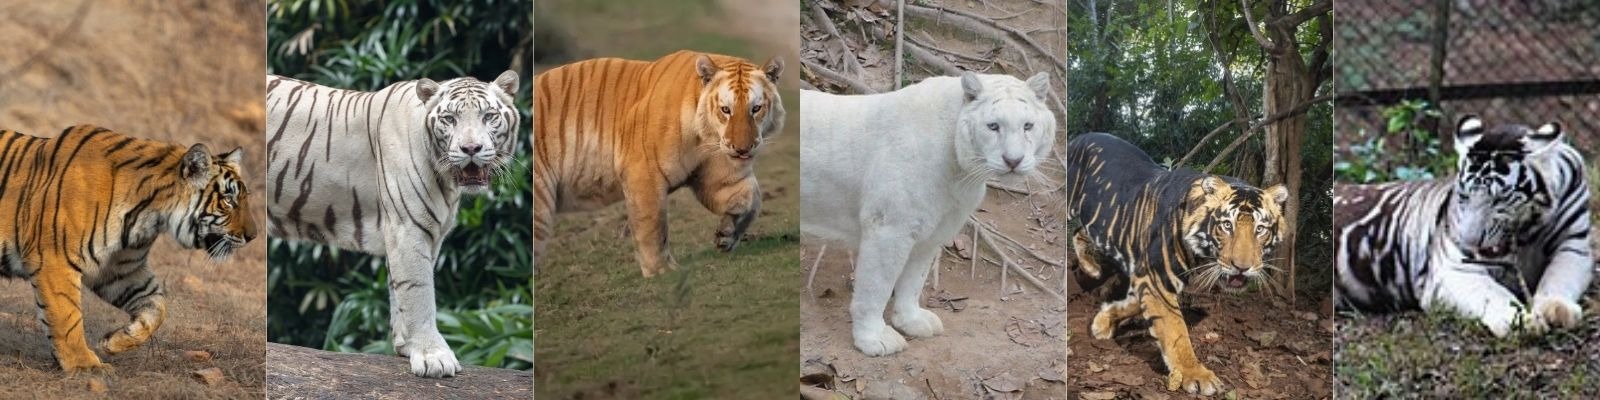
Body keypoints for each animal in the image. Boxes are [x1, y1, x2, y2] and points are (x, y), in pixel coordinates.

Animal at [0, 124, 256, 373]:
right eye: (228, 200)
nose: (252, 236)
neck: (148, 214)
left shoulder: (118, 269)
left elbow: (157, 305)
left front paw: (117, 340)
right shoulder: (56, 260)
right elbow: (67, 316)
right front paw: (84, 365)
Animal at [265, 70, 520, 378]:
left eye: (488, 116)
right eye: (450, 119)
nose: (471, 148)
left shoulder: (424, 234)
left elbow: (400, 289)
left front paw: (406, 346)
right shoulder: (408, 227)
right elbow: (419, 291)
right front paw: (433, 357)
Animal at [532, 50, 784, 277]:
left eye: (755, 108)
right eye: (726, 110)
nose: (742, 149)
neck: (706, 138)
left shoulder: (715, 174)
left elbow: (752, 198)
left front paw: (726, 236)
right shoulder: (643, 173)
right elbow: (652, 225)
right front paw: (661, 271)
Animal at [1065, 132, 1288, 395]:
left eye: (1260, 229)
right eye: (1226, 225)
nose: (1241, 266)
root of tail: (1080, 137)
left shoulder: (1154, 278)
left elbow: (1134, 304)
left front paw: (1103, 322)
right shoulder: (1156, 278)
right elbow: (1176, 331)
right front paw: (1196, 375)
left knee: (1079, 232)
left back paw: (1091, 268)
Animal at [1335, 115, 1593, 338]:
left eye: (1499, 199)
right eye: (1465, 197)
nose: (1470, 240)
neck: (1526, 235)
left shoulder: (1574, 245)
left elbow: (1559, 277)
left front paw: (1557, 310)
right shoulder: (1455, 267)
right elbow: (1494, 294)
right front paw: (1523, 321)